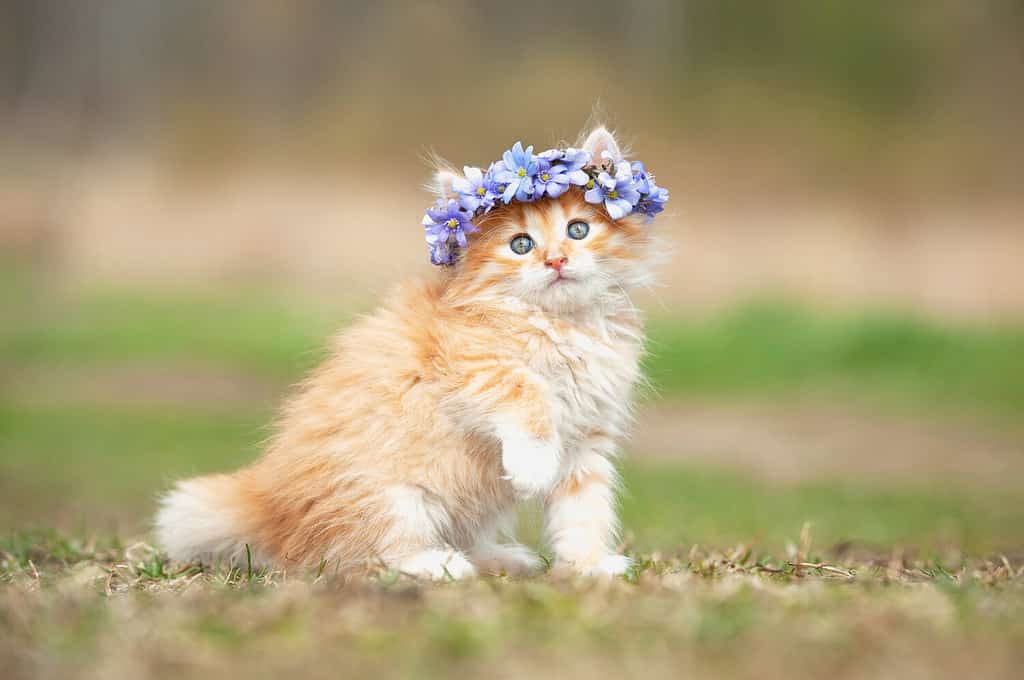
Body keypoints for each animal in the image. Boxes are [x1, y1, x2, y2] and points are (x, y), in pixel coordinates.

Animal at [151, 127, 663, 577]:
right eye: (521, 244)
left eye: (577, 230)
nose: (556, 260)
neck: (561, 323)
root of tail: (271, 511)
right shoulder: (464, 364)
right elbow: (526, 390)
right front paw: (534, 466)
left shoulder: (588, 440)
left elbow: (585, 509)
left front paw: (589, 566)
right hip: (391, 500)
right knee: (357, 555)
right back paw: (437, 565)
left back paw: (502, 559)